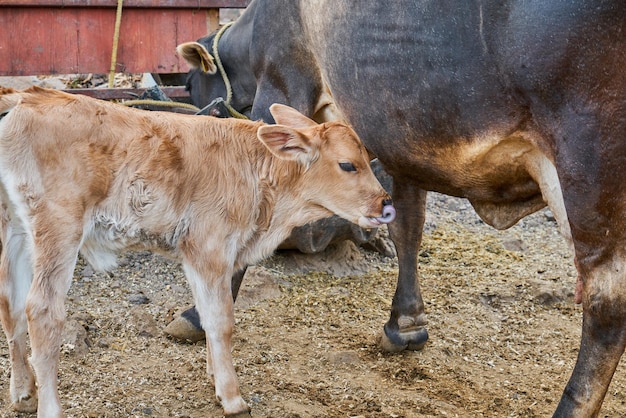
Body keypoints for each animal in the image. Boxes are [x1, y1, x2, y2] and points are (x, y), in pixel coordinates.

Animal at [0, 86, 392, 416]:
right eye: (347, 164)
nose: (386, 205)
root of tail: (25, 97)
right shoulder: (210, 247)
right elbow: (221, 320)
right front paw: (232, 397)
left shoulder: (197, 253)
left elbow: (206, 314)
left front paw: (215, 376)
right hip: (59, 227)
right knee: (41, 310)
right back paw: (49, 406)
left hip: (15, 227)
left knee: (11, 304)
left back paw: (23, 393)